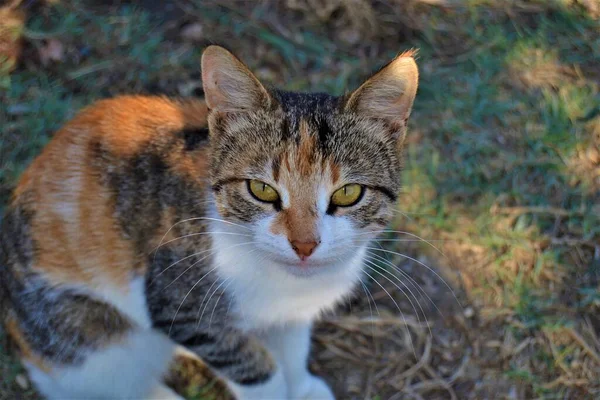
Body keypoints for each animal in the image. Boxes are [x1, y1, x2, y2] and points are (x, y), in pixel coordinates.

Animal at [0, 45, 420, 398]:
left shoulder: (293, 312)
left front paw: (302, 388)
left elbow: (293, 348)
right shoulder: (180, 304)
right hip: (95, 345)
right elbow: (258, 370)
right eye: (261, 189)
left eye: (348, 193)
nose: (304, 245)